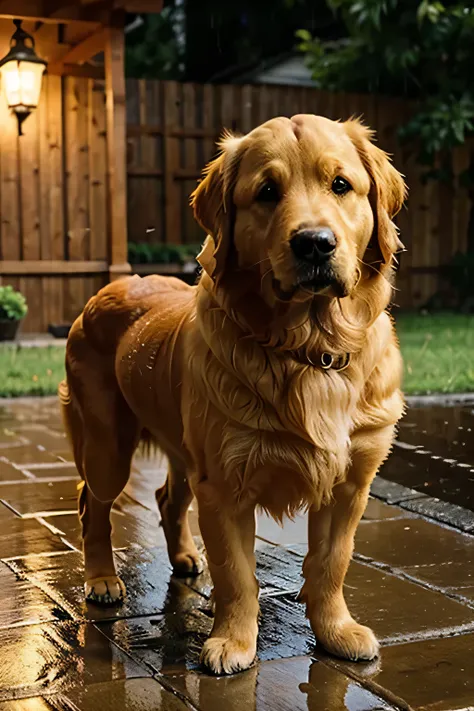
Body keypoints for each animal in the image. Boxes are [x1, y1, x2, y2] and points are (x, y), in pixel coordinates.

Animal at [60, 114, 408, 676]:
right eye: (266, 192)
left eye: (341, 185)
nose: (315, 243)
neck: (310, 351)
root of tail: (107, 289)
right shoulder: (223, 484)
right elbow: (237, 575)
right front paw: (233, 643)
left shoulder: (351, 484)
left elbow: (331, 563)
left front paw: (337, 632)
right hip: (107, 446)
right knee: (91, 503)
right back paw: (102, 580)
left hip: (182, 450)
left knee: (166, 498)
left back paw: (182, 558)